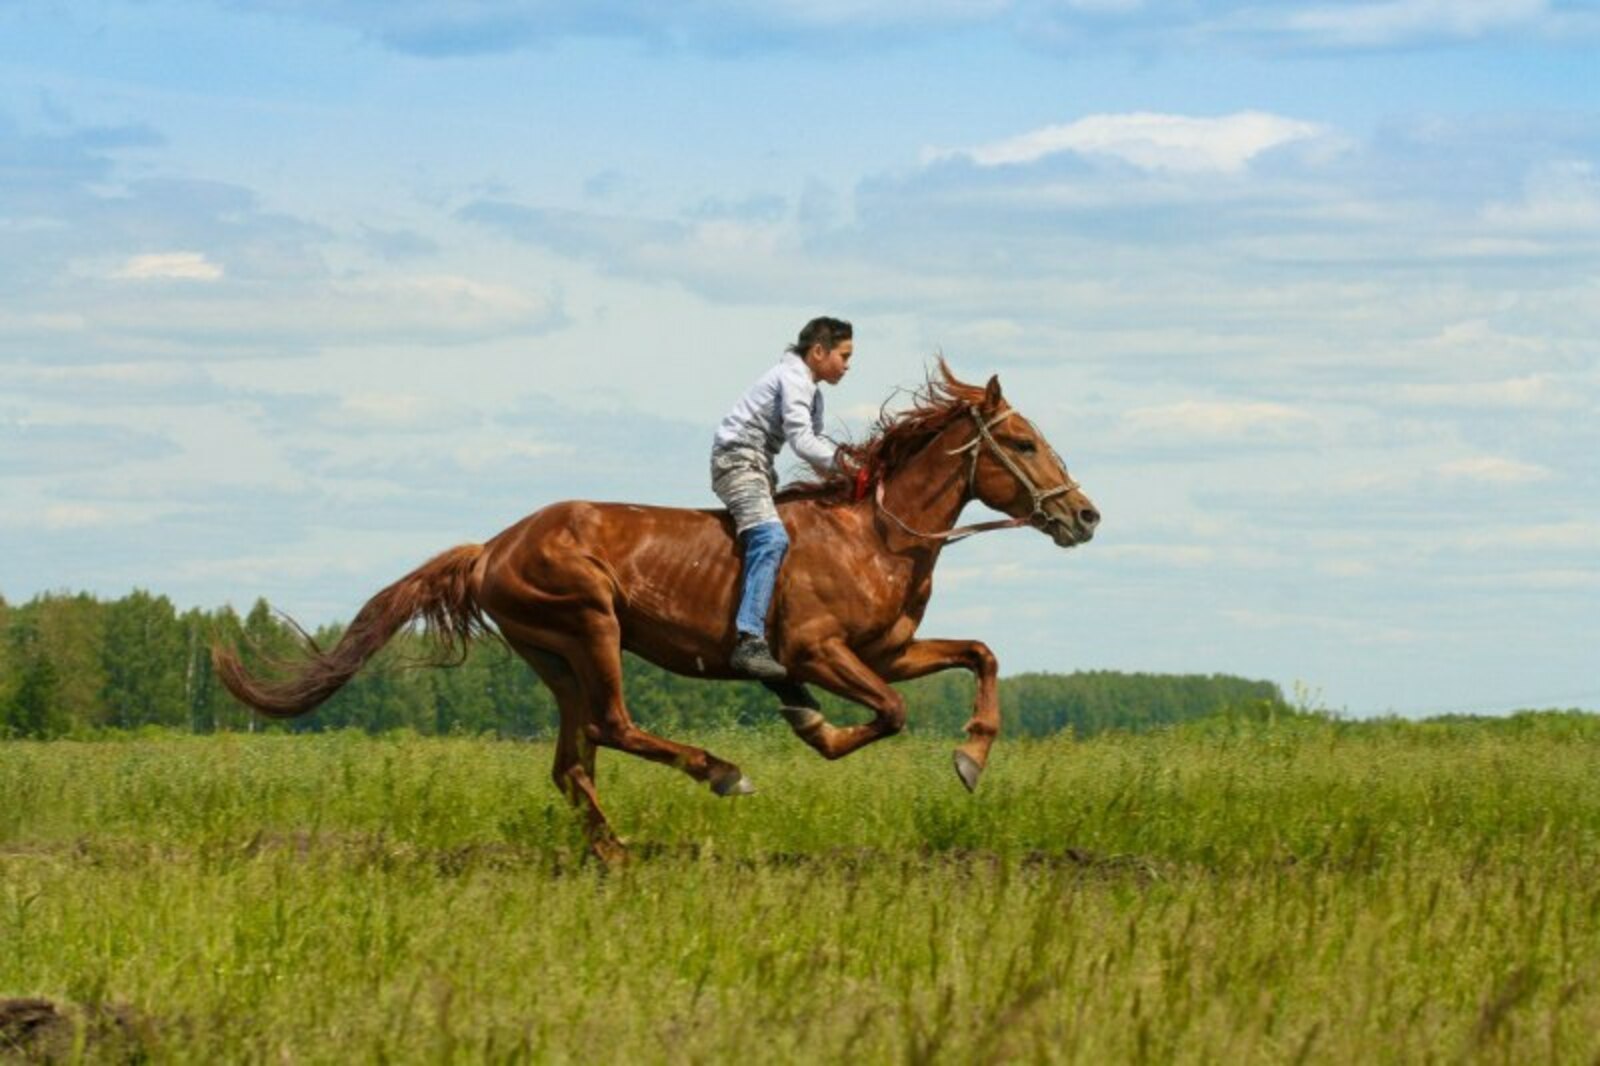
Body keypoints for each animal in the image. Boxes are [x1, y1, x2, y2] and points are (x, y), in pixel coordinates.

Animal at [216, 363, 1100, 857]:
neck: (876, 534)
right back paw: (721, 774)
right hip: (589, 624)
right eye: (1023, 442)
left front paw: (971, 757)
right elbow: (885, 714)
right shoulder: (819, 651)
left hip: (554, 657)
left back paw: (616, 852)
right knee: (611, 727)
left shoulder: (886, 649)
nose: (1084, 515)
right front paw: (813, 725)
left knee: (572, 761)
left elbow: (980, 653)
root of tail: (493, 547)